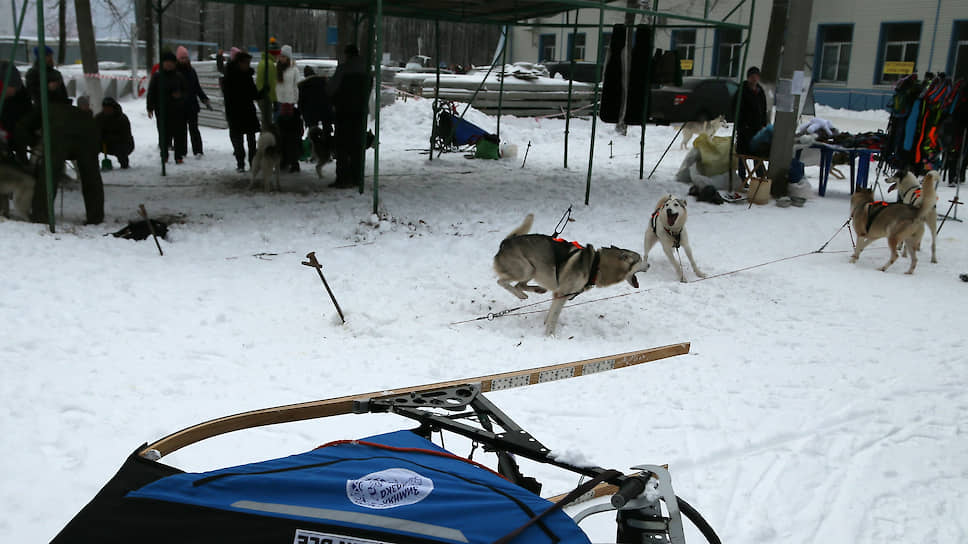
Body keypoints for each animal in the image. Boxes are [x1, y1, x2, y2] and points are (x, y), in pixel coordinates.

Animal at [492, 214, 644, 336]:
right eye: (640, 260)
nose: (648, 265)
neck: (595, 264)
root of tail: (505, 242)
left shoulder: (559, 295)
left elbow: (551, 314)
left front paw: (546, 326)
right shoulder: (562, 294)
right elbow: (553, 317)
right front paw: (550, 336)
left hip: (533, 271)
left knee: (520, 284)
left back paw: (535, 290)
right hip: (527, 269)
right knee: (502, 282)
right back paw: (521, 294)